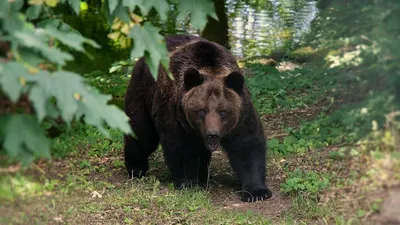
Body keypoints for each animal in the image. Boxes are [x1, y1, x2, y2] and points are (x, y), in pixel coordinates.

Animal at [122, 33, 272, 202]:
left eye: (223, 111)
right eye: (202, 110)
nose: (212, 134)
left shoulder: (242, 116)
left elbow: (247, 145)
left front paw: (257, 191)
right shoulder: (176, 114)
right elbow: (181, 147)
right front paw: (189, 182)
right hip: (143, 93)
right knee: (142, 134)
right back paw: (136, 168)